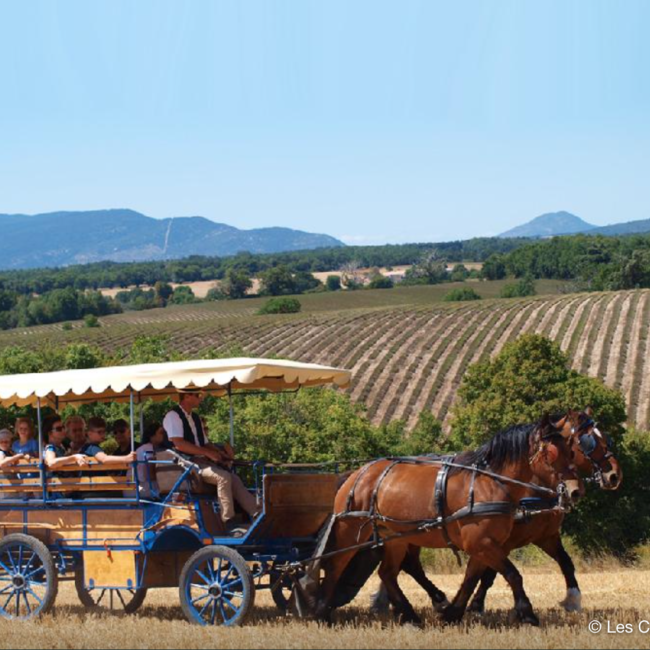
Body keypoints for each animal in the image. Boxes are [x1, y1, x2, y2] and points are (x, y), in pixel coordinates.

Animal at [306, 412, 580, 624]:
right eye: (552, 452)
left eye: (571, 450)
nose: (575, 490)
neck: (491, 483)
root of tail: (356, 473)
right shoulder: (482, 543)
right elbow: (513, 574)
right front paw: (528, 613)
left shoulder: (484, 545)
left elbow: (471, 578)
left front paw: (452, 612)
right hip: (350, 531)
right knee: (335, 565)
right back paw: (321, 611)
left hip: (395, 537)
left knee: (388, 573)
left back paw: (410, 615)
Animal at [368, 408, 620, 616]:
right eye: (587, 441)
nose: (614, 476)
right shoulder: (497, 540)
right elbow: (489, 575)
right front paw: (477, 606)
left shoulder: (545, 536)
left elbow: (565, 562)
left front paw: (573, 600)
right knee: (406, 566)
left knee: (405, 566)